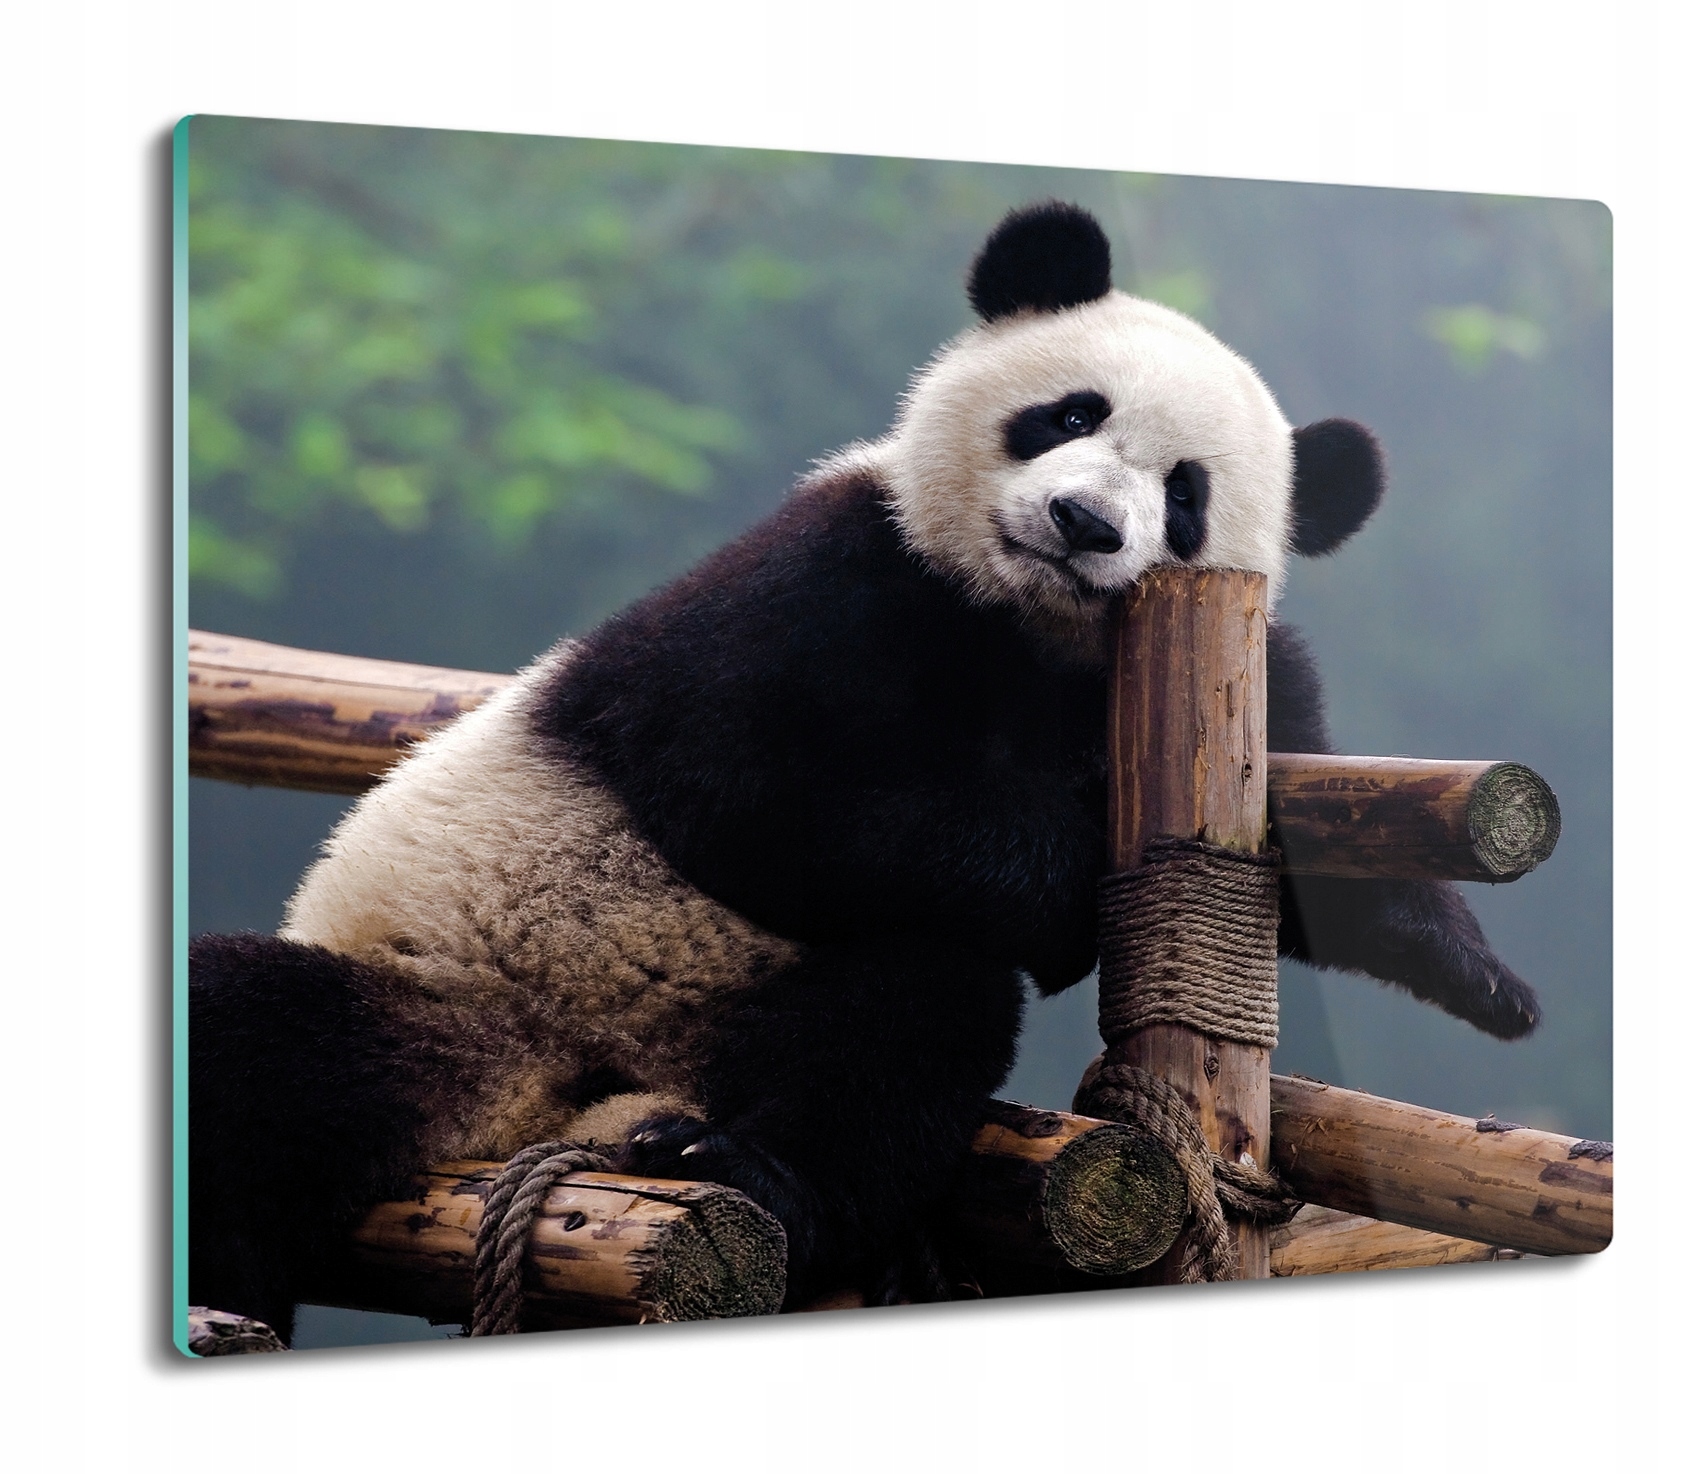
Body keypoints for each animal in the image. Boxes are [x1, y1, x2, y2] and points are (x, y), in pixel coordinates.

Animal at [189, 201, 1540, 1338]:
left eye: (1187, 495)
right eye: (1071, 414)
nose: (1087, 525)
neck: (1028, 624)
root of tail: (561, 1105)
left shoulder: (1222, 660)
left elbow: (1324, 835)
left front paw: (1479, 975)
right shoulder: (834, 570)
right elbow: (751, 779)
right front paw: (1066, 883)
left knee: (904, 1015)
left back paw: (755, 1170)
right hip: (444, 992)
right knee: (243, 1044)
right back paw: (236, 1286)